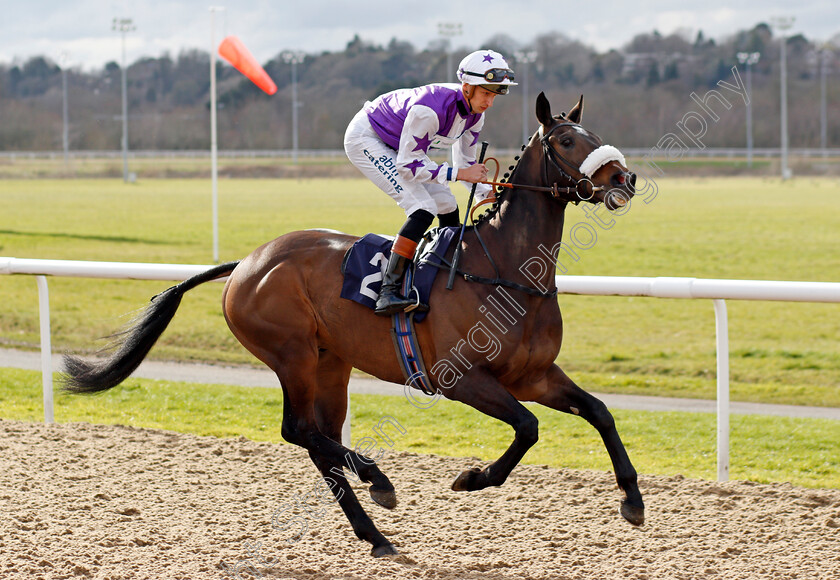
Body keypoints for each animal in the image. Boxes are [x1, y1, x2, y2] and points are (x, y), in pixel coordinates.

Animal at [64, 92, 644, 556]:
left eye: (595, 136)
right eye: (567, 140)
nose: (625, 178)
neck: (501, 269)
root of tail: (247, 262)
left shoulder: (534, 375)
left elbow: (599, 412)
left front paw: (633, 499)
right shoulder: (462, 379)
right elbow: (527, 427)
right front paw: (473, 477)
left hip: (331, 362)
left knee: (316, 437)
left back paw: (375, 532)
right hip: (292, 354)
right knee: (299, 430)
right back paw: (377, 480)